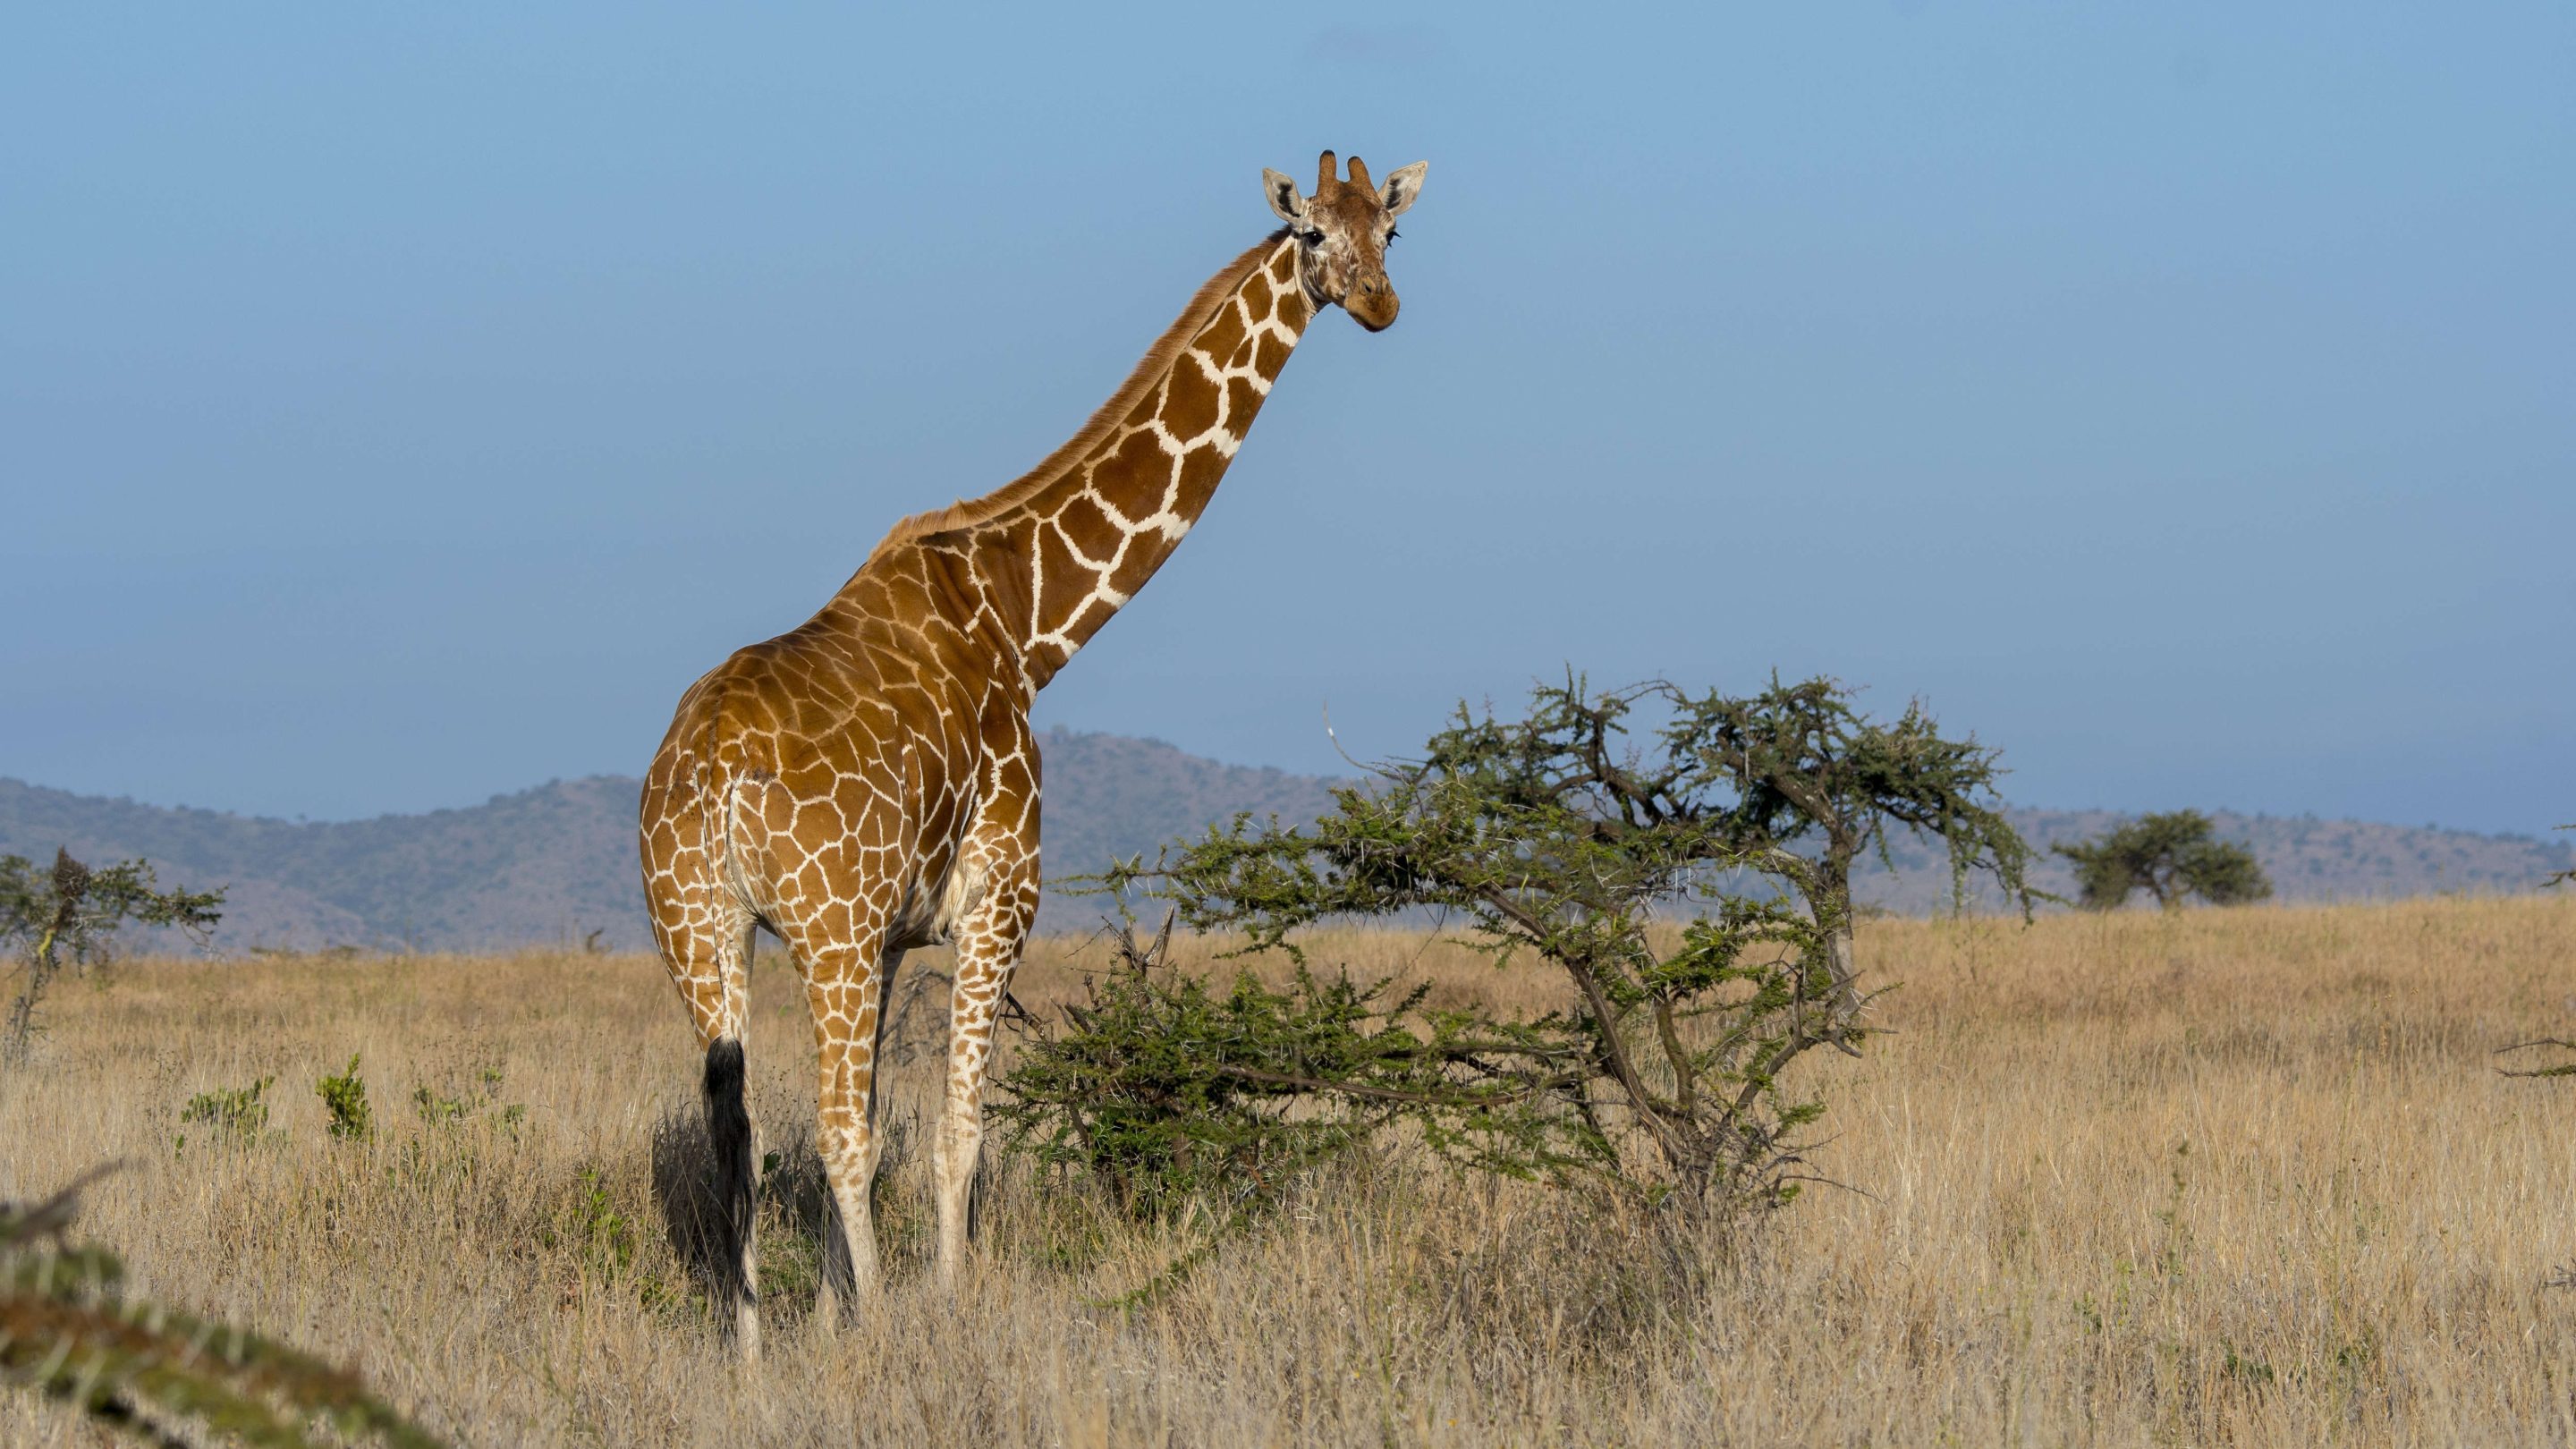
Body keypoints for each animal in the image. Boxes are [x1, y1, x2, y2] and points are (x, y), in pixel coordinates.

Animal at [638, 150, 1427, 1356]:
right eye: (1312, 237)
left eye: (1391, 229)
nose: (1381, 304)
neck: (1027, 619)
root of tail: (713, 770)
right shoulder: (997, 896)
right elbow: (956, 1130)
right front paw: (932, 1312)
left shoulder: (894, 934)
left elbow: (884, 1116)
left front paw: (838, 1315)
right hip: (818, 930)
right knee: (827, 1131)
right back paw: (865, 1327)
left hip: (704, 926)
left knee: (743, 1133)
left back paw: (752, 1348)